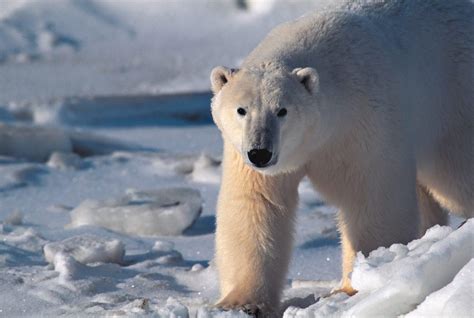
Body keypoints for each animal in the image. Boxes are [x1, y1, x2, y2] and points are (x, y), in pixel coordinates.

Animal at [212, 0, 474, 314]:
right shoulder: (244, 157)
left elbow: (372, 199)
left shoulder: (363, 123)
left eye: (282, 110)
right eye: (241, 109)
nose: (260, 153)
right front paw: (240, 303)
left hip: (453, 99)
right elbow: (255, 206)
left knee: (454, 178)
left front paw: (357, 284)